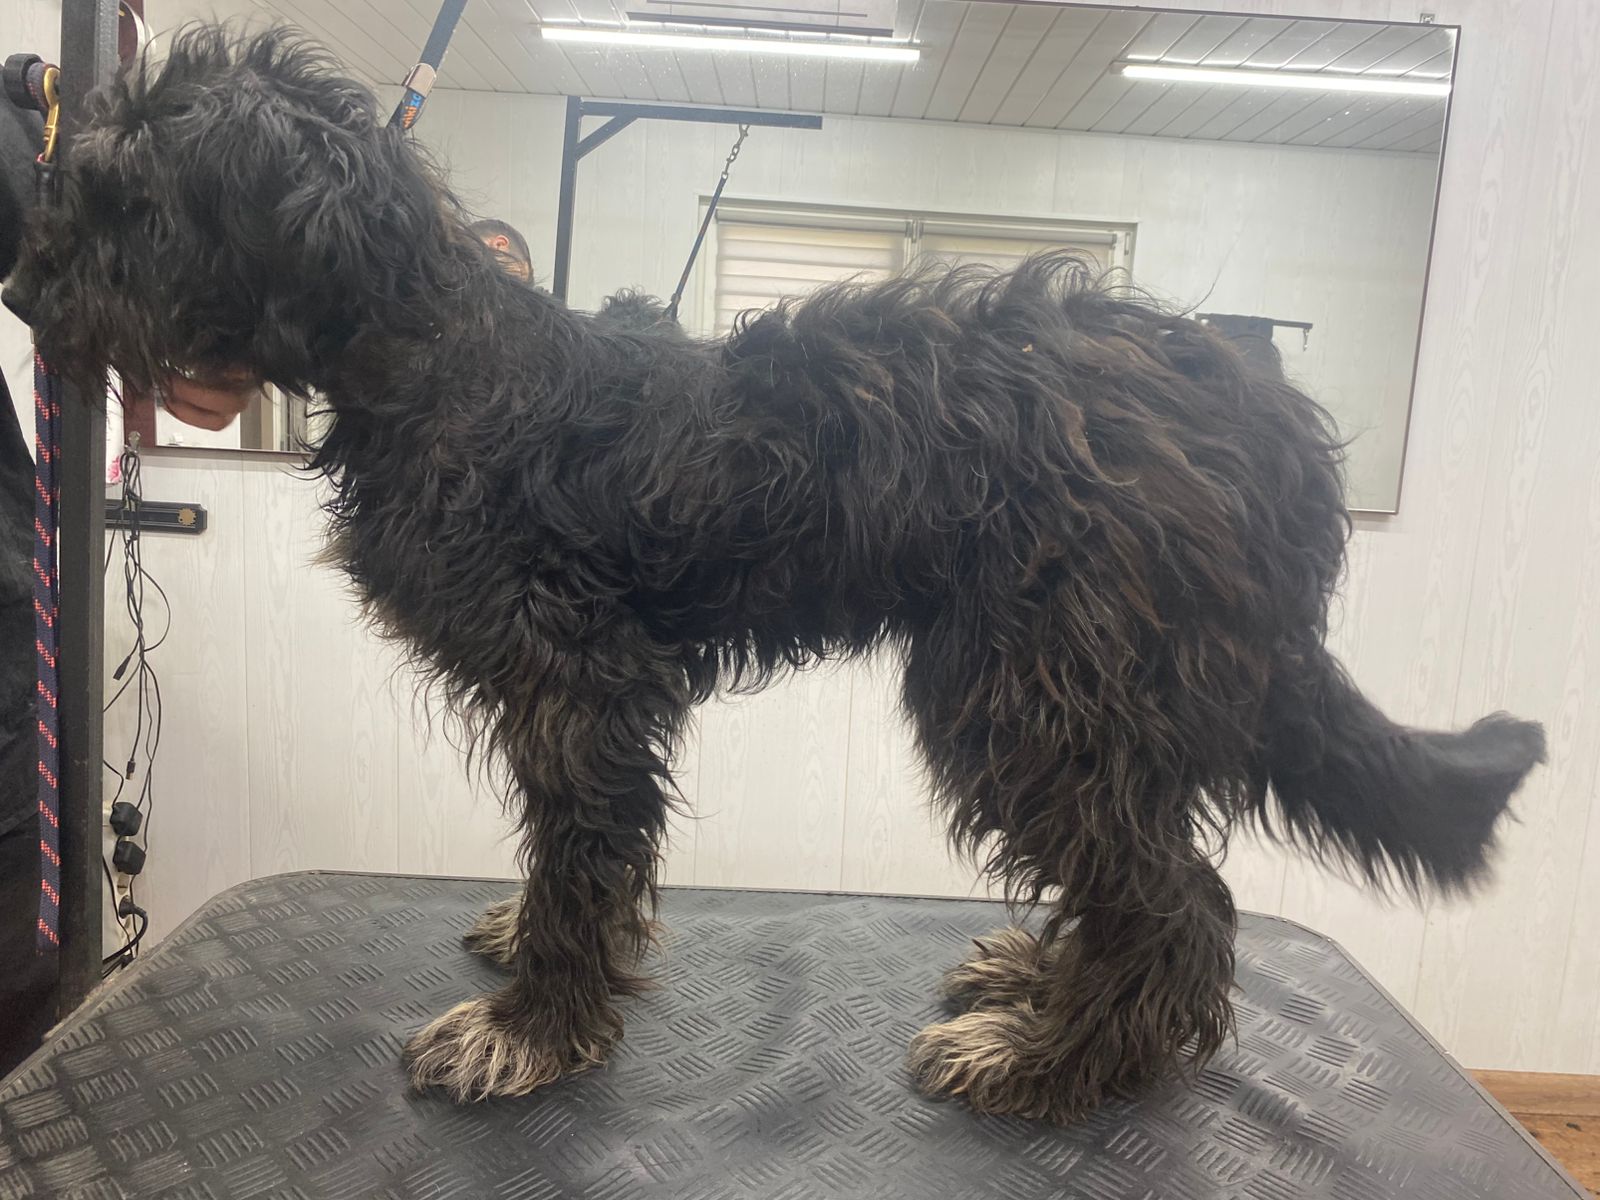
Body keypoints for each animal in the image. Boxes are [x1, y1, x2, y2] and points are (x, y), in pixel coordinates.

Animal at [5, 28, 1545, 1123]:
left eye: (133, 199)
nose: (22, 293)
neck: (437, 358)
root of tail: (1262, 423)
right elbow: (573, 860)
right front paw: (533, 956)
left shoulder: (582, 685)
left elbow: (581, 852)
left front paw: (533, 1033)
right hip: (1101, 700)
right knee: (1152, 880)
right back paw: (1046, 984)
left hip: (1031, 692)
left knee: (1178, 901)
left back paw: (1051, 1064)